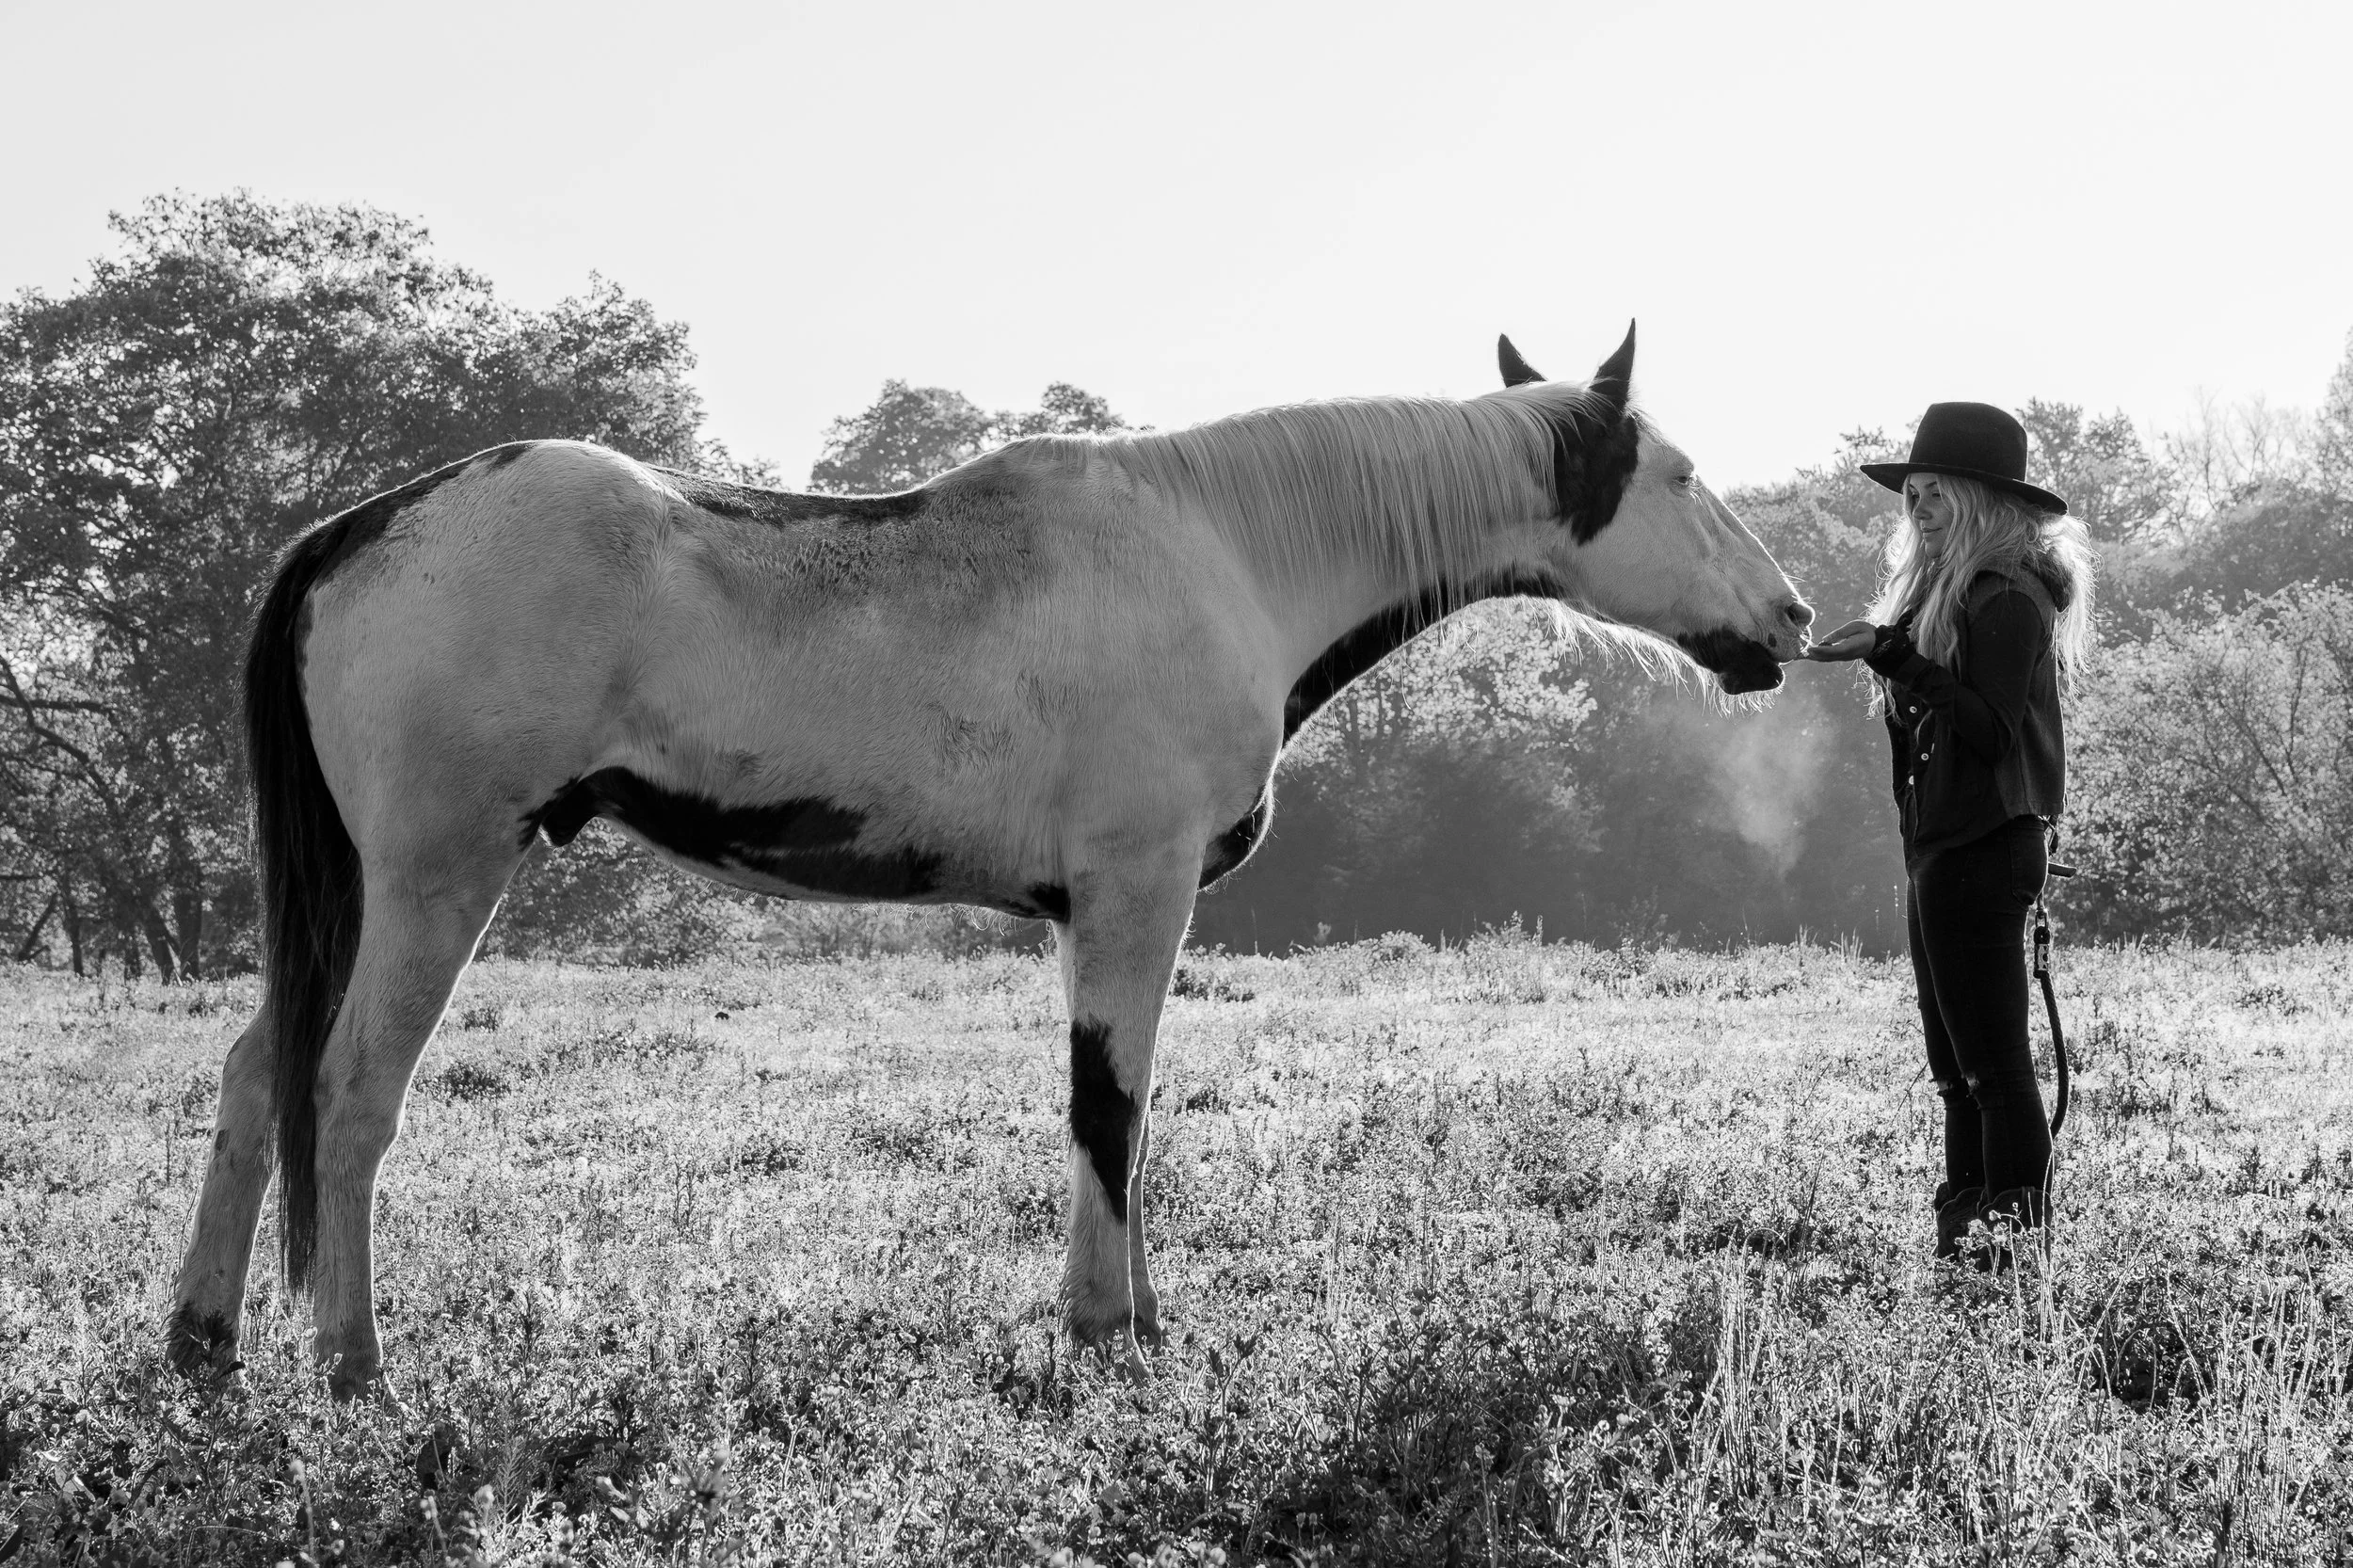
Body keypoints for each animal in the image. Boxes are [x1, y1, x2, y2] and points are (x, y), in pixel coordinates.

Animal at [166, 323, 1812, 1396]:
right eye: (1676, 475)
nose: (1794, 618)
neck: (1221, 547)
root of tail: (358, 527)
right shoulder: (1133, 895)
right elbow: (1109, 1110)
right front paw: (1106, 1331)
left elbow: (1123, 1119)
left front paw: (1131, 1319)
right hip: (437, 877)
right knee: (345, 1092)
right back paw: (355, 1367)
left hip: (360, 892)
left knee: (257, 1074)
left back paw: (203, 1342)